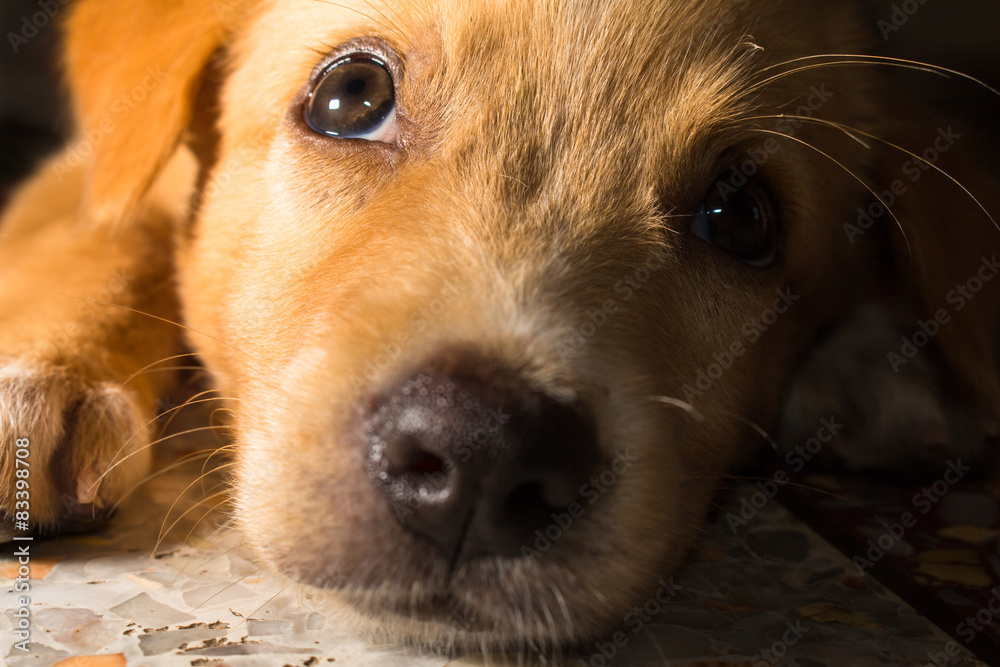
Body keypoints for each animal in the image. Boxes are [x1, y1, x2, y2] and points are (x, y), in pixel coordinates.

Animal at [1, 0, 1000, 652]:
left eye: (743, 216)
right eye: (351, 93)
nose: (482, 453)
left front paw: (881, 361)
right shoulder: (101, 168)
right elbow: (100, 226)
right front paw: (40, 377)